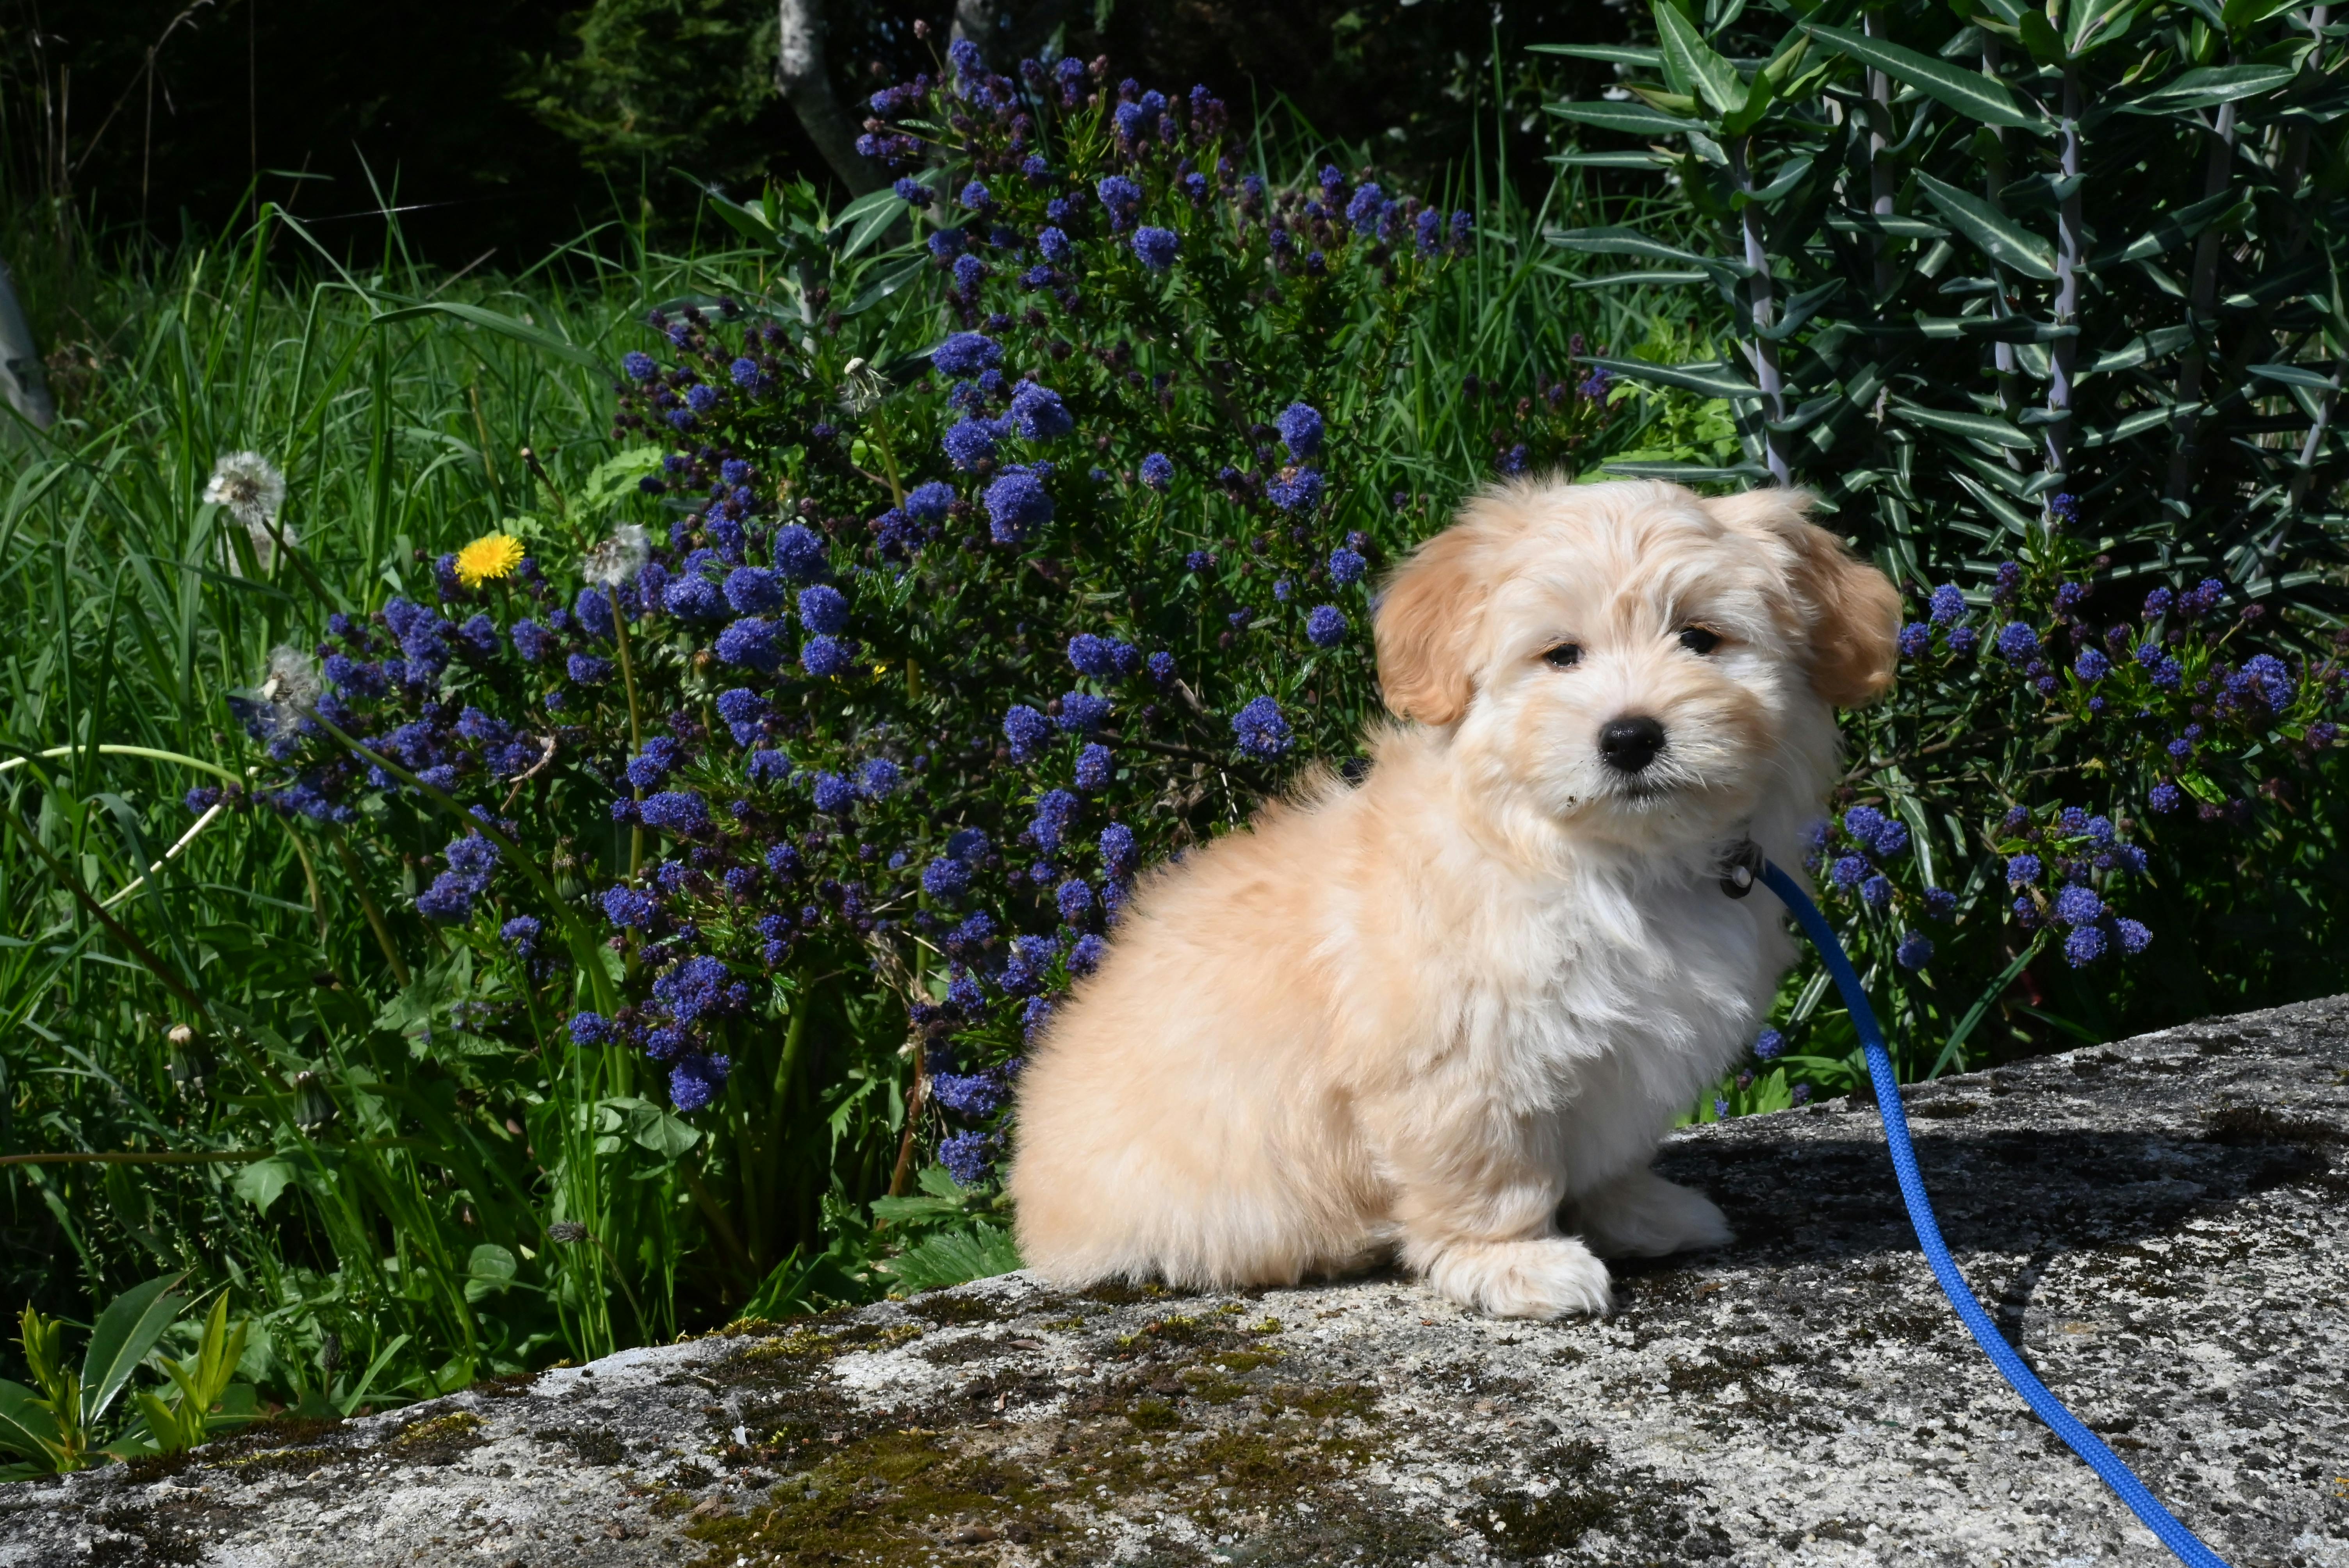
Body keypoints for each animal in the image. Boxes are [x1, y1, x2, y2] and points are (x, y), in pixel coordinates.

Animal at [1010, 483, 1907, 1314]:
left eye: (1700, 638)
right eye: (1560, 656)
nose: (1630, 737)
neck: (1605, 861)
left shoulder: (1626, 1060)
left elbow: (1611, 1152)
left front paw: (1639, 1212)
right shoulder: (1458, 1064)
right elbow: (1487, 1173)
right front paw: (1518, 1264)